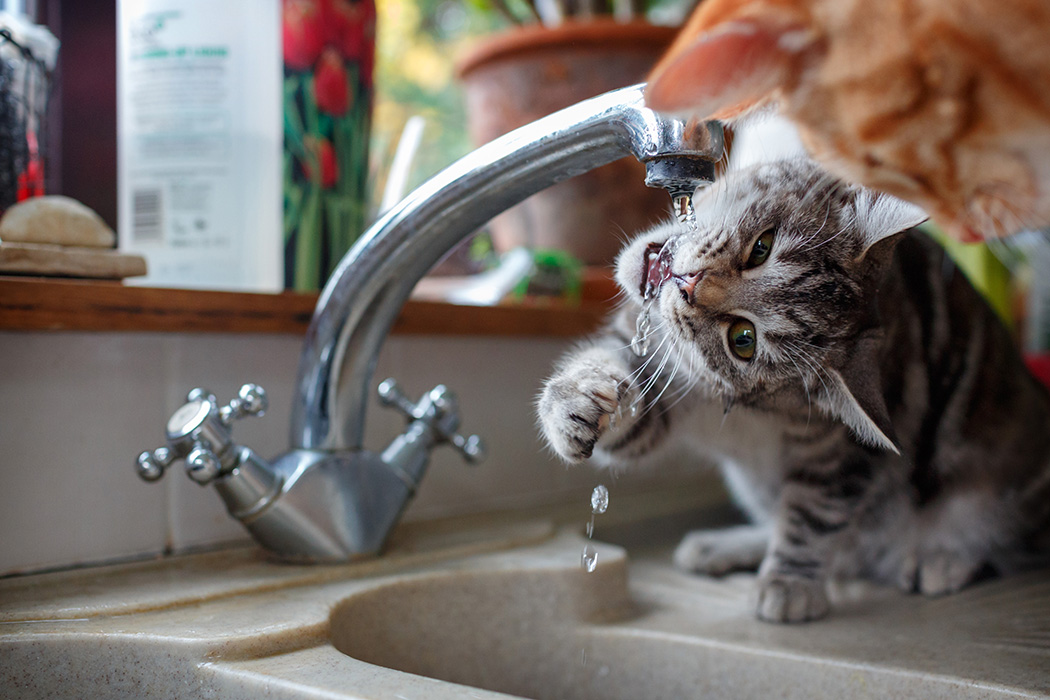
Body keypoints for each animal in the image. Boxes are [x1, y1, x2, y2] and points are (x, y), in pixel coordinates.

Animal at [537, 158, 1050, 625]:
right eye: (761, 248)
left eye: (743, 340)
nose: (689, 285)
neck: (717, 397)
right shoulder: (650, 371)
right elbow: (616, 408)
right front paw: (575, 407)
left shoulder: (840, 455)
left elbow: (810, 516)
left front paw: (788, 583)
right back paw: (720, 545)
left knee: (997, 545)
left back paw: (940, 560)